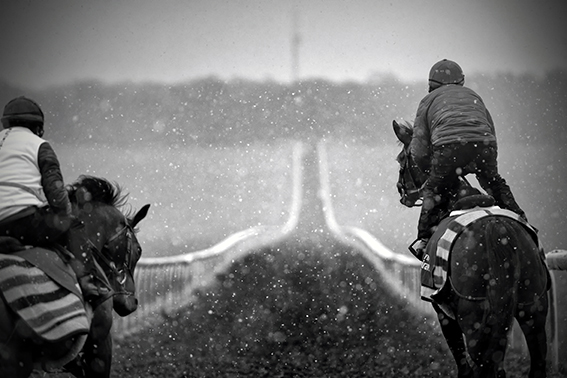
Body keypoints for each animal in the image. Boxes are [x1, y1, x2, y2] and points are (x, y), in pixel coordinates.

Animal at [394, 121, 552, 378]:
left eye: (401, 159)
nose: (401, 191)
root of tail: (495, 229)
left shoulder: (443, 311)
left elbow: (462, 362)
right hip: (534, 305)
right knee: (535, 363)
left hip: (474, 315)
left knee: (483, 365)